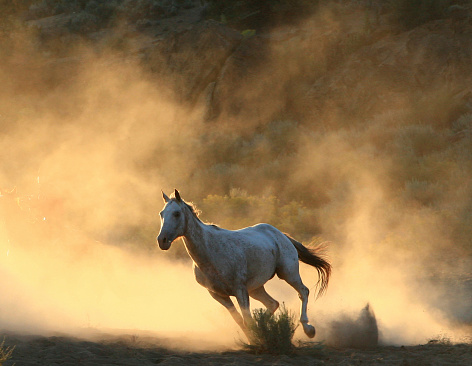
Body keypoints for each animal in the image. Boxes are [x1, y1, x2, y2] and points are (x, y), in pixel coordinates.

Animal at [157, 190, 330, 338]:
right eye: (161, 214)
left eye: (177, 213)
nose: (162, 240)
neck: (210, 253)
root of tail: (281, 235)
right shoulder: (218, 294)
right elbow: (240, 320)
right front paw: (253, 339)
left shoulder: (240, 289)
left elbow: (247, 319)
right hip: (256, 288)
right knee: (273, 304)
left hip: (288, 273)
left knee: (303, 292)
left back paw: (308, 329)